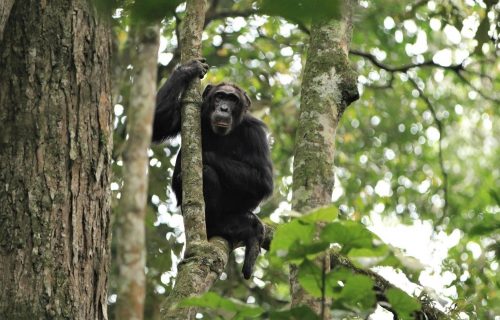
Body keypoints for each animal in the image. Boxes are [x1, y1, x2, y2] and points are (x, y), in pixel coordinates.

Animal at [152, 58, 274, 278]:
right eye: (219, 96)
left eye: (232, 99)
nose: (224, 108)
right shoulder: (191, 112)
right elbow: (158, 123)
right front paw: (187, 69)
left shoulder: (256, 132)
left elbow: (263, 179)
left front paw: (204, 155)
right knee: (208, 174)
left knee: (208, 172)